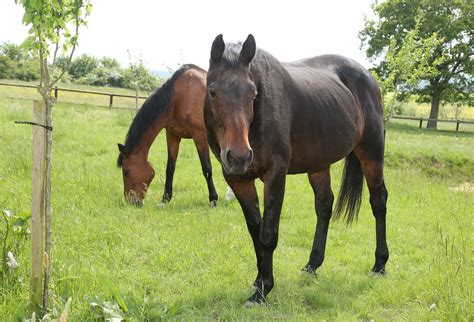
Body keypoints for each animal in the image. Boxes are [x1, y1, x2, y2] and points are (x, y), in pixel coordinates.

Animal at [117, 64, 218, 208]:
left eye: (126, 172)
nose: (131, 202)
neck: (179, 97)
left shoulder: (199, 136)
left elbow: (207, 169)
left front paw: (213, 200)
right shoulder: (172, 135)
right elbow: (170, 168)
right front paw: (165, 199)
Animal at [205, 34, 388, 306]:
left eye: (253, 92)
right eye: (213, 91)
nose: (239, 156)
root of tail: (368, 77)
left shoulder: (275, 175)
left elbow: (268, 233)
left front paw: (262, 290)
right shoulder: (237, 179)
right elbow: (255, 230)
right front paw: (259, 281)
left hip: (372, 155)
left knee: (378, 202)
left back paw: (379, 264)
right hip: (319, 164)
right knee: (324, 206)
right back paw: (312, 265)